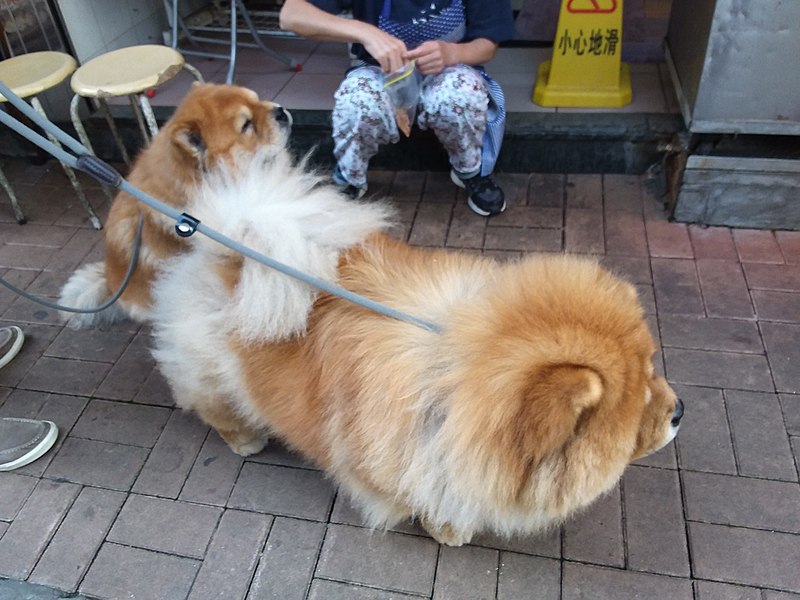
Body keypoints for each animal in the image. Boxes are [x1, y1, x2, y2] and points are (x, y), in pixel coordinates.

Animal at [148, 149, 680, 544]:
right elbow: (418, 497)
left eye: (655, 371)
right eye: (640, 404)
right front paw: (447, 531)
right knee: (215, 407)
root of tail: (229, 259)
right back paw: (246, 440)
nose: (680, 411)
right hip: (211, 375)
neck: (451, 381)